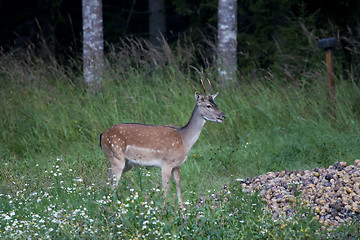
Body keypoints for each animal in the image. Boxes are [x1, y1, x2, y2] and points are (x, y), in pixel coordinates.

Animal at [99, 79, 225, 207]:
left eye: (216, 104)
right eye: (208, 105)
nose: (222, 116)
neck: (184, 140)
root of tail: (102, 135)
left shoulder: (177, 165)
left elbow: (178, 184)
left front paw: (182, 209)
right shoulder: (166, 162)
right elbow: (166, 188)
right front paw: (163, 209)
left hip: (128, 162)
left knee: (110, 176)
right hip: (115, 154)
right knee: (114, 181)